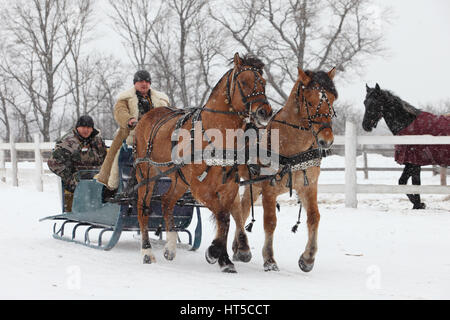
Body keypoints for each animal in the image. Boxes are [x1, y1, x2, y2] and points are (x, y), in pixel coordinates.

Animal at [134, 52, 272, 272]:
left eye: (264, 82)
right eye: (243, 81)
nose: (264, 112)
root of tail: (147, 116)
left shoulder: (229, 186)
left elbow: (228, 217)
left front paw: (227, 257)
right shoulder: (201, 188)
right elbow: (223, 217)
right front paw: (216, 252)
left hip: (179, 180)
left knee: (167, 201)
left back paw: (170, 247)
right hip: (147, 174)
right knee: (144, 209)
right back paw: (147, 251)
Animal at [230, 67, 336, 272]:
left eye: (333, 100)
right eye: (310, 102)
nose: (326, 140)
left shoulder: (308, 186)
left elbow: (314, 217)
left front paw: (308, 258)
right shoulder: (269, 189)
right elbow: (270, 222)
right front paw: (269, 259)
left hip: (253, 185)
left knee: (243, 208)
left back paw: (239, 248)